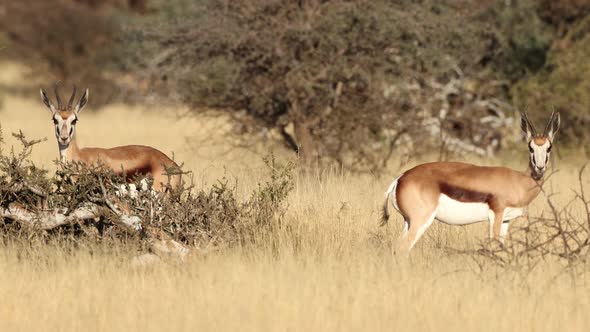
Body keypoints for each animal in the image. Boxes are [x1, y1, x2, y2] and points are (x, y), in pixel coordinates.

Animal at [384, 110, 564, 250]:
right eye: (530, 147)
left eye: (549, 147)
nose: (539, 168)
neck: (518, 181)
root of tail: (400, 179)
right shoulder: (496, 214)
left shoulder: (506, 220)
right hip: (420, 221)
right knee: (402, 248)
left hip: (408, 221)